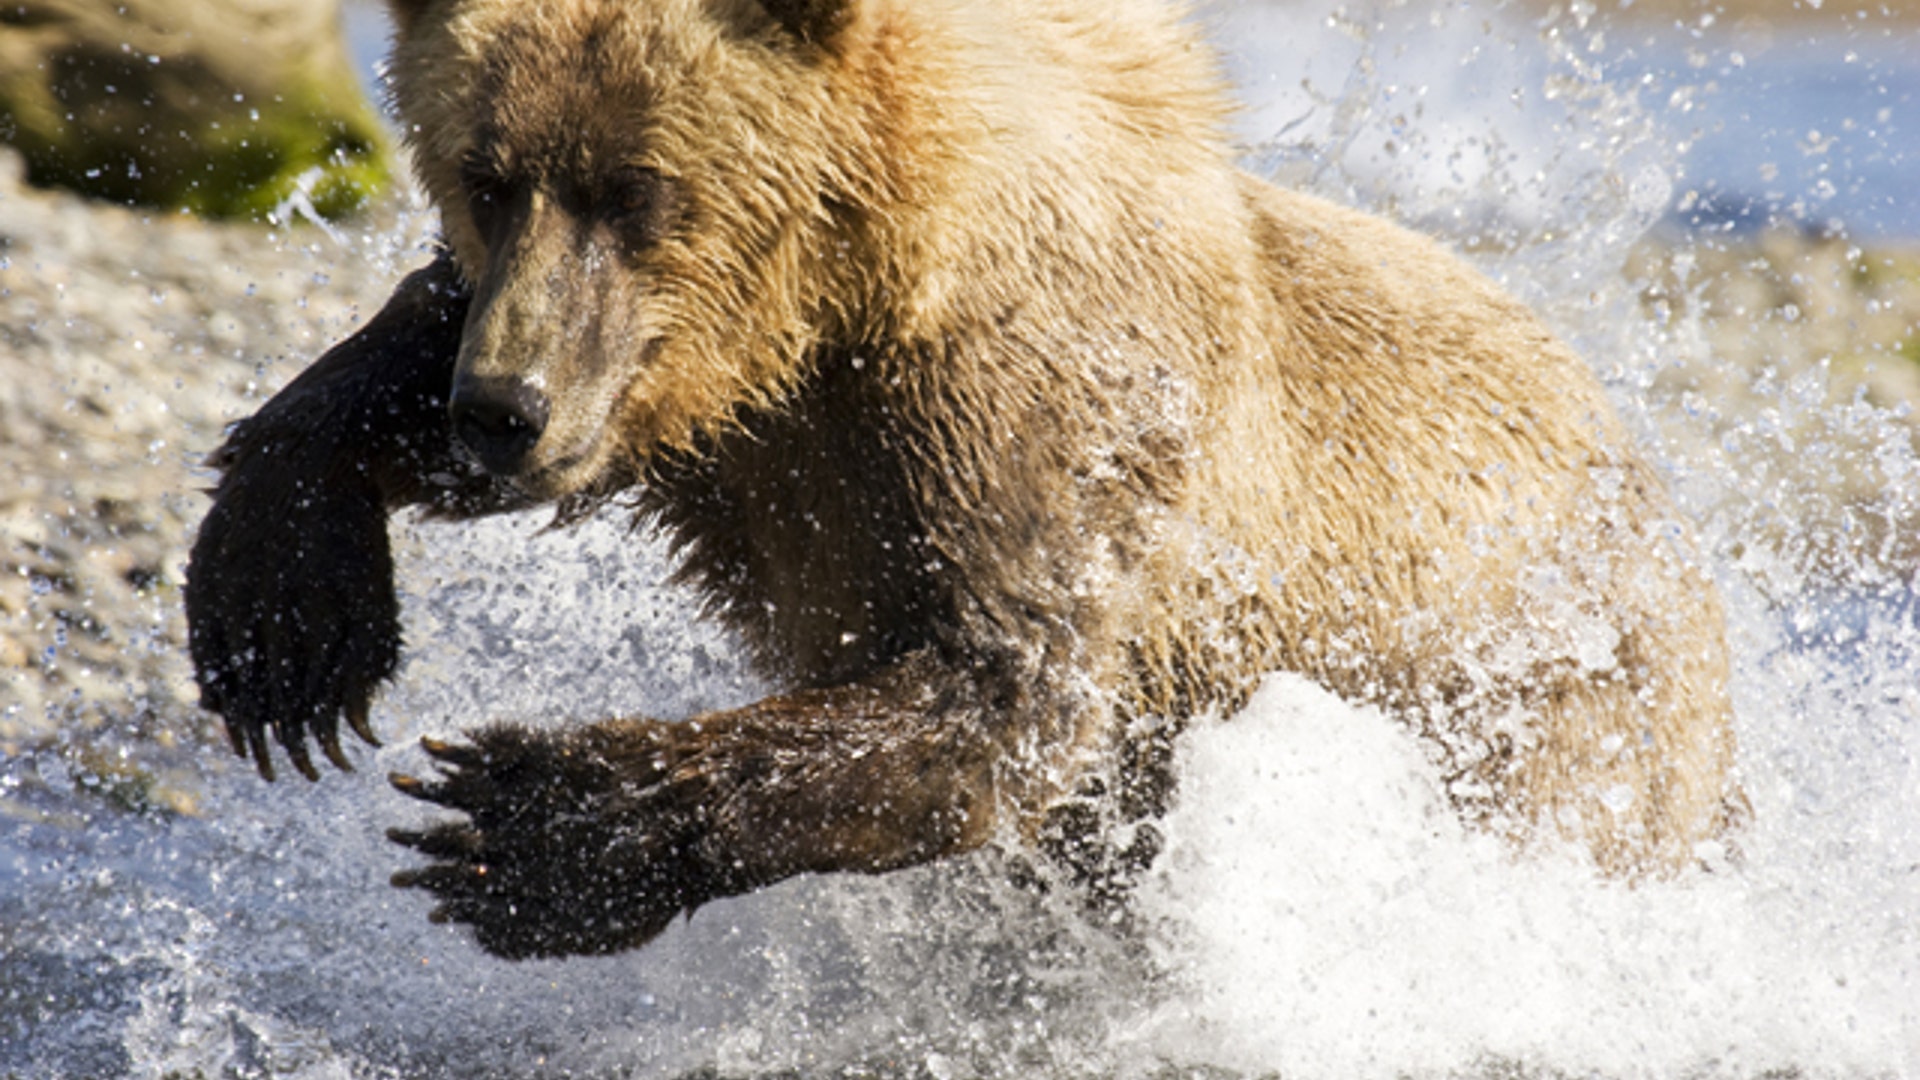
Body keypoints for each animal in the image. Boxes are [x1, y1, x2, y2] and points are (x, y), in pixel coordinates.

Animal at [184, 0, 1745, 960]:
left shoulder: (1023, 407)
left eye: (638, 190)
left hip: (1552, 718)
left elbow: (1004, 688)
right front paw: (287, 624)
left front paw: (521, 821)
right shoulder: (750, 428)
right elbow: (400, 365)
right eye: (487, 173)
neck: (851, 282)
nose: (505, 410)